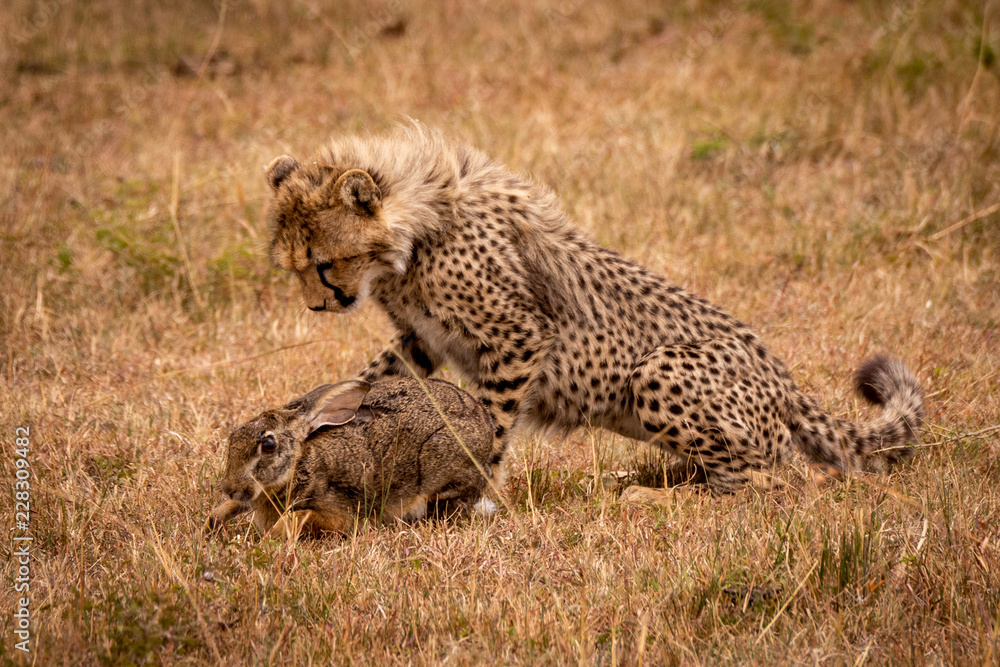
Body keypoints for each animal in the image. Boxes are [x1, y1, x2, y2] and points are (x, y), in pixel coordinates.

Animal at [207, 377, 501, 538]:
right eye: (235, 434)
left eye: (268, 445)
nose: (229, 488)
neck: (299, 466)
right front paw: (213, 523)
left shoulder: (335, 510)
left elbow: (297, 518)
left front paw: (273, 536)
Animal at [264, 124, 925, 495]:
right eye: (294, 267)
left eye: (322, 263)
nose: (318, 306)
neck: (414, 234)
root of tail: (785, 383)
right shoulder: (421, 341)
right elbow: (373, 379)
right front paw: (316, 414)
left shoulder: (518, 338)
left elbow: (489, 420)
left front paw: (472, 496)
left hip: (659, 370)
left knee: (767, 479)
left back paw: (651, 497)